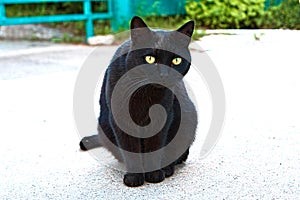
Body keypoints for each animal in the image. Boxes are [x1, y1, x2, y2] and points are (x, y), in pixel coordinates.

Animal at [79, 16, 197, 187]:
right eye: (150, 58)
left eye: (176, 60)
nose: (163, 75)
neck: (145, 94)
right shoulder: (121, 120)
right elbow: (131, 149)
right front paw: (134, 177)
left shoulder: (163, 119)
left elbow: (155, 146)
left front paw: (154, 174)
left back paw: (167, 168)